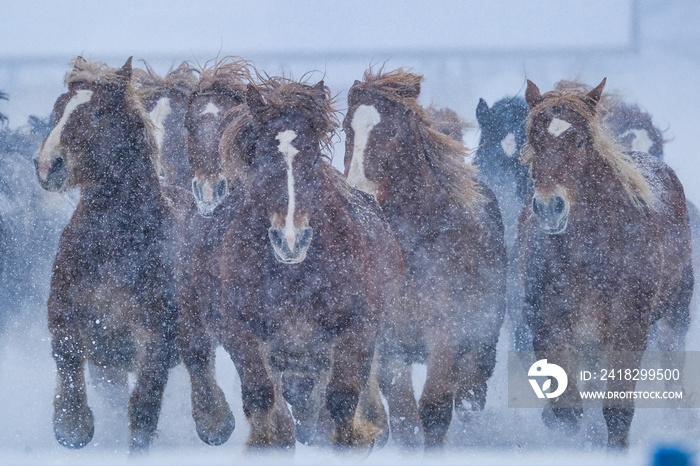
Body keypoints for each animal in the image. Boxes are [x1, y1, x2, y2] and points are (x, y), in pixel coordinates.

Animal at [34, 57, 179, 452]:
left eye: (99, 112)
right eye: (57, 110)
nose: (47, 164)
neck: (113, 248)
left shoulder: (155, 337)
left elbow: (144, 408)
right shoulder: (69, 315)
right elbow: (67, 353)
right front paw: (72, 425)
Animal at [344, 69, 504, 448]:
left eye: (392, 132)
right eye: (346, 129)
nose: (358, 196)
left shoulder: (446, 336)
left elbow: (434, 410)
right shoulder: (390, 344)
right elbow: (404, 417)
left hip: (482, 337)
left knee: (471, 394)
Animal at [520, 79, 696, 448]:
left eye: (581, 141)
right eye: (534, 142)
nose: (549, 208)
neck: (587, 255)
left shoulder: (628, 328)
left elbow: (617, 411)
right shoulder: (547, 326)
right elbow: (567, 410)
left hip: (675, 312)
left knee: (672, 362)